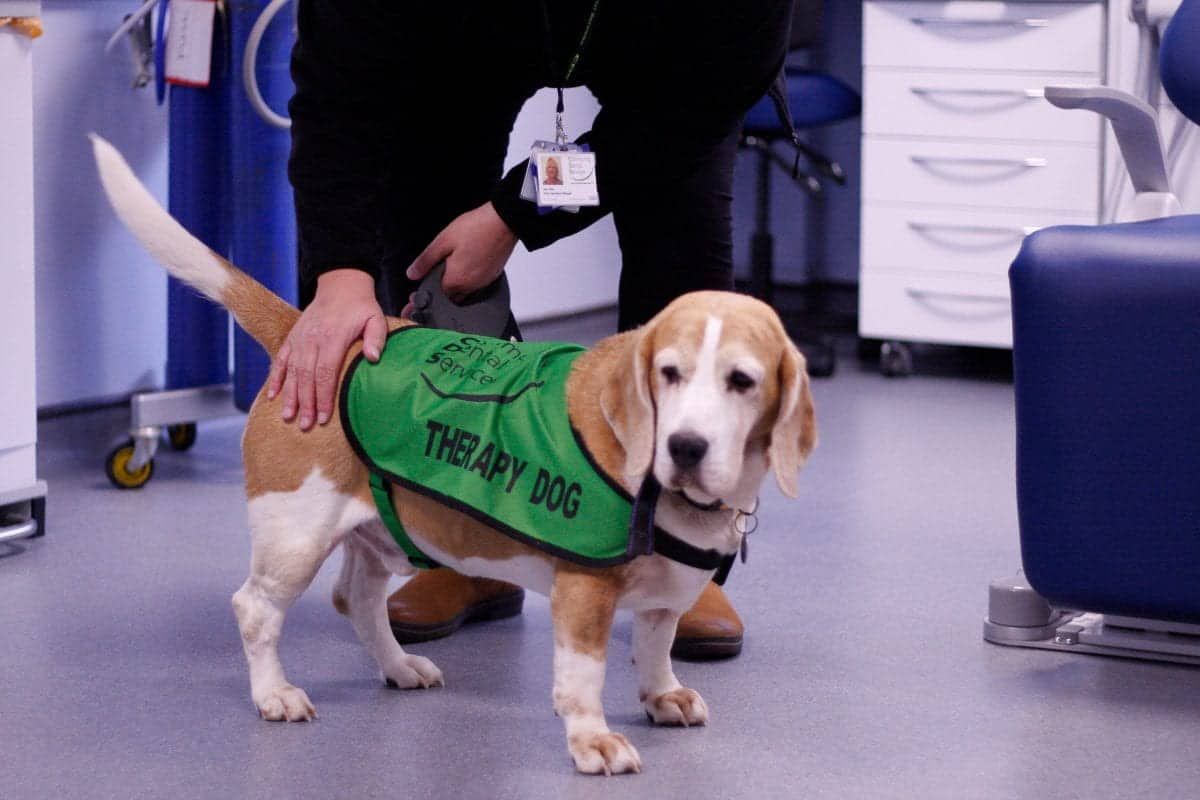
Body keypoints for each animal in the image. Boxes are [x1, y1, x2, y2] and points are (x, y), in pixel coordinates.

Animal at [91, 136, 816, 777]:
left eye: (743, 381)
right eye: (669, 373)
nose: (685, 447)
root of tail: (316, 334)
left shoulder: (664, 595)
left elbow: (658, 643)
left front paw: (662, 695)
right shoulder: (584, 592)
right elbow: (582, 677)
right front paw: (593, 741)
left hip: (379, 534)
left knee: (356, 600)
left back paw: (397, 668)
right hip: (295, 534)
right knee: (256, 609)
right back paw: (275, 693)